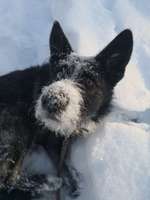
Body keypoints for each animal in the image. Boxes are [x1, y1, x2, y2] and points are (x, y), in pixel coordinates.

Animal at [0, 21, 132, 199]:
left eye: (89, 82)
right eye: (58, 74)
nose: (51, 101)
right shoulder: (52, 141)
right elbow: (69, 172)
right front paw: (73, 186)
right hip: (17, 126)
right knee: (7, 180)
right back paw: (49, 181)